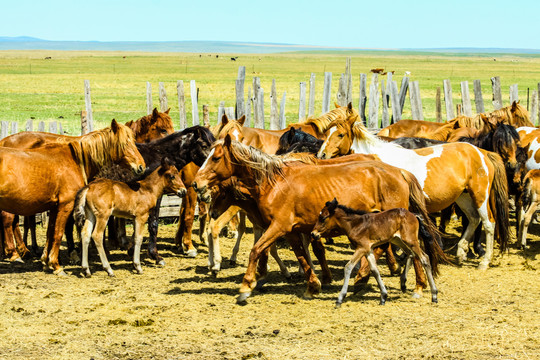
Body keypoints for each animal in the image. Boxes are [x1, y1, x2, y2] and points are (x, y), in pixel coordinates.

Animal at [193, 136, 442, 302]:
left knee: (411, 251)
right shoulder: (292, 230)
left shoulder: (278, 226)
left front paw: (246, 286)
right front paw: (313, 285)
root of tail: (399, 172)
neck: (274, 183)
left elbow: (256, 250)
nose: (197, 184)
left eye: (216, 158)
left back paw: (415, 287)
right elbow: (302, 255)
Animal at [316, 102, 510, 268]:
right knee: (473, 219)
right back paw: (461, 252)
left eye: (340, 134)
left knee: (488, 223)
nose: (321, 155)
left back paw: (484, 261)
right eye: (327, 132)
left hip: (480, 196)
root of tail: (482, 152)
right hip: (463, 197)